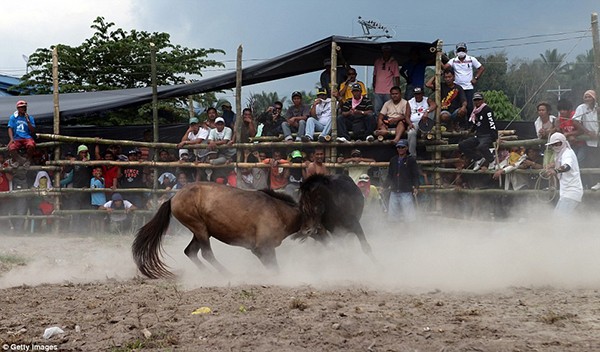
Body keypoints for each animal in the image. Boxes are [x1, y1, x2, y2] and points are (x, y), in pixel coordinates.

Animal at [131, 183, 300, 280]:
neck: (279, 211)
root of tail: (173, 198)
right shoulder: (262, 248)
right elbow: (274, 267)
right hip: (199, 228)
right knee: (206, 253)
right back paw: (226, 274)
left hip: (199, 231)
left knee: (190, 251)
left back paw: (209, 274)